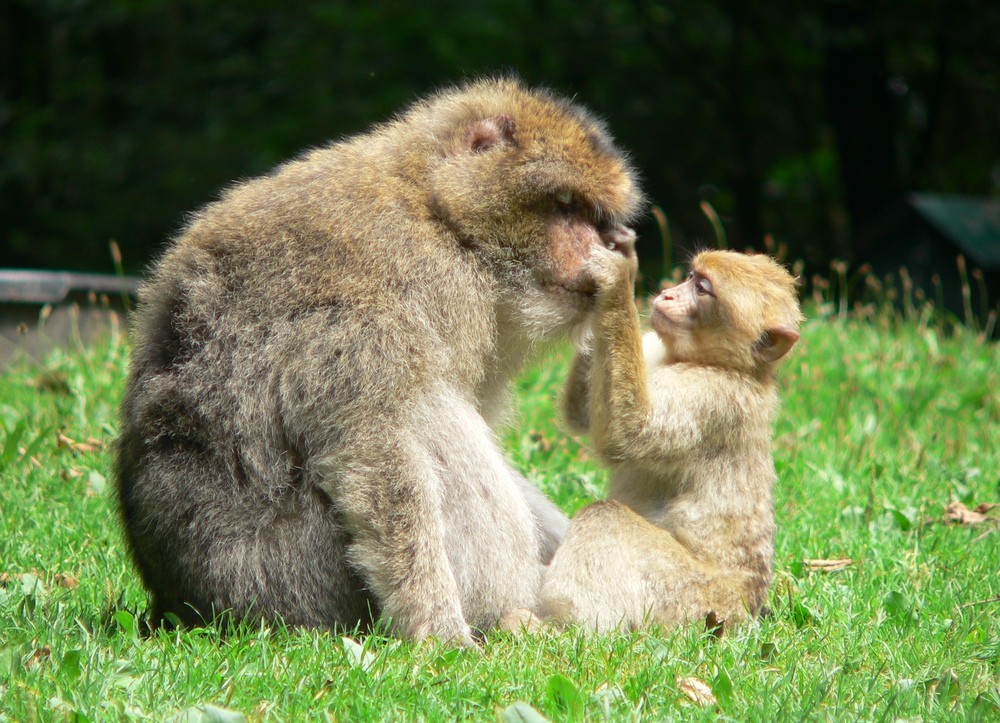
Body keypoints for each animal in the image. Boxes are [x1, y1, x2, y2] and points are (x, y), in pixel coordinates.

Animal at [115, 78, 640, 644]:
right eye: (565, 205)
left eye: (592, 215)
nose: (601, 244)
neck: (442, 219)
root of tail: (176, 603)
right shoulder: (367, 310)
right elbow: (373, 449)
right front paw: (440, 631)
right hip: (291, 587)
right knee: (432, 418)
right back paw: (520, 614)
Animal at [540, 249, 804, 632]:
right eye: (690, 277)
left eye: (703, 289)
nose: (667, 295)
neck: (724, 364)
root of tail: (746, 608)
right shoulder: (652, 345)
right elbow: (581, 415)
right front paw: (622, 255)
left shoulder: (711, 397)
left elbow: (631, 433)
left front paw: (617, 283)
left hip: (694, 599)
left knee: (605, 518)